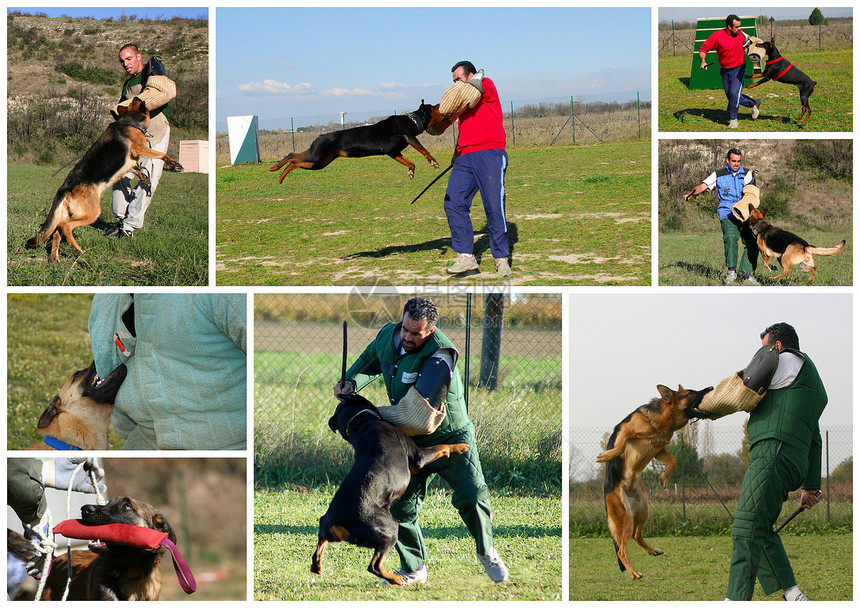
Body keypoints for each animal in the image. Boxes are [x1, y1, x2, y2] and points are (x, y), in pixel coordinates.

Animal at [26, 97, 183, 262]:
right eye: (136, 101)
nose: (138, 97)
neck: (129, 121)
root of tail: (64, 188)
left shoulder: (129, 163)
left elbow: (136, 168)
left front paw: (145, 177)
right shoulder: (139, 149)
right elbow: (161, 154)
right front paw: (174, 164)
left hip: (66, 214)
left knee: (57, 232)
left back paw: (54, 258)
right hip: (92, 213)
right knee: (65, 226)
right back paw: (77, 249)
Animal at [272, 101, 450, 182]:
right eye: (433, 106)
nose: (439, 103)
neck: (412, 121)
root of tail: (320, 136)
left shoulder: (393, 152)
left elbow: (410, 162)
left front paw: (411, 172)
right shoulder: (409, 136)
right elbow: (424, 150)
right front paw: (433, 162)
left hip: (319, 162)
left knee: (294, 162)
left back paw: (280, 176)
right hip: (316, 156)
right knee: (291, 156)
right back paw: (275, 168)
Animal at [310, 394, 466, 584]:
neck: (360, 423)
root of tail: (340, 522)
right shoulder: (418, 456)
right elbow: (441, 447)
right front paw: (459, 447)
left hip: (326, 524)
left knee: (320, 541)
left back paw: (317, 565)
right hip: (390, 529)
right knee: (374, 566)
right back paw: (396, 579)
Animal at [596, 384, 712, 580]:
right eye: (690, 393)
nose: (711, 387)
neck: (661, 422)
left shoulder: (659, 449)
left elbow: (673, 460)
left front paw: (664, 477)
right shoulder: (626, 430)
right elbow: (619, 445)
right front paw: (607, 455)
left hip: (643, 512)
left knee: (636, 536)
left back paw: (653, 550)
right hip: (625, 519)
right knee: (621, 550)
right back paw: (633, 573)